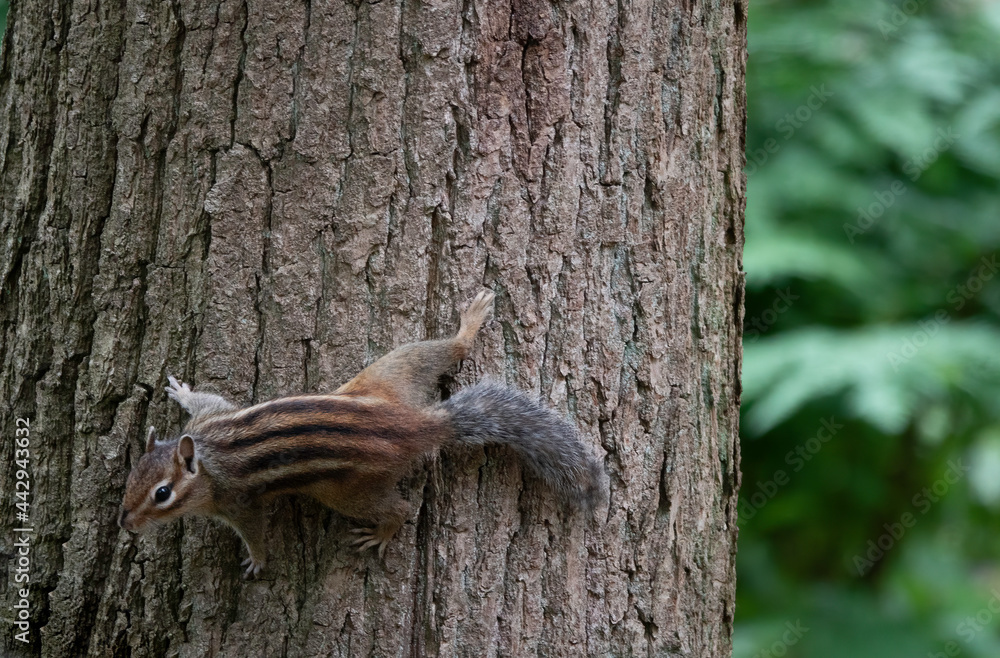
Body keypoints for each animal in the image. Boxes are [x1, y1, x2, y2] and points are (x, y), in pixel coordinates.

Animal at [118, 291, 601, 578]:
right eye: (130, 478)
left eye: (162, 493)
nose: (125, 523)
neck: (208, 458)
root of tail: (420, 424)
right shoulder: (206, 420)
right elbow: (205, 400)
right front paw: (181, 391)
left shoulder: (239, 502)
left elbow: (255, 532)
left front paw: (257, 561)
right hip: (391, 373)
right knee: (446, 350)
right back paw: (470, 322)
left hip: (348, 491)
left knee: (400, 508)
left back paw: (382, 533)